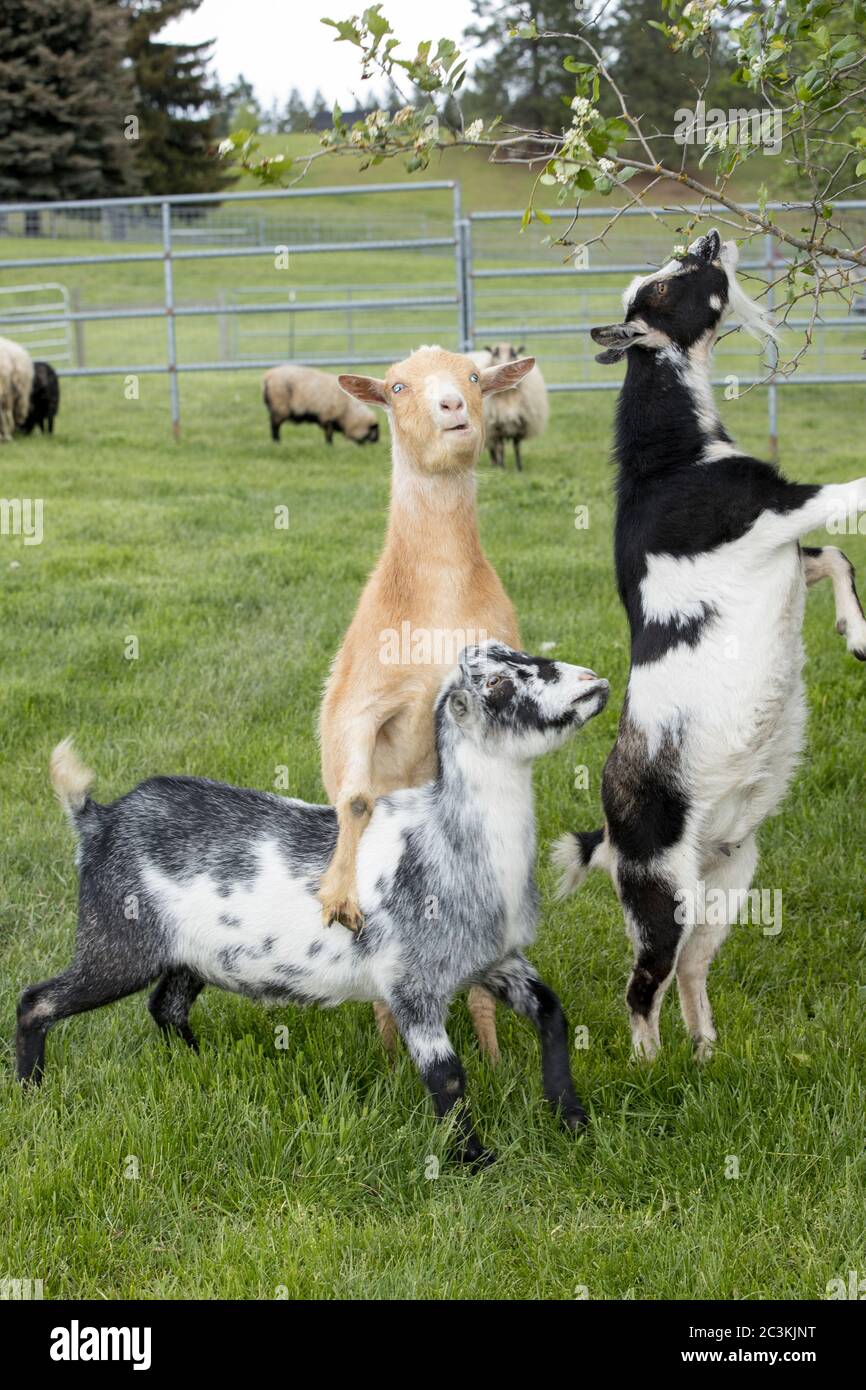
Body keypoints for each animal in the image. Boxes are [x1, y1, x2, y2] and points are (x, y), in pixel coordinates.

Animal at [15, 639, 608, 1162]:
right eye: (497, 683)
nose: (593, 683)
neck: (444, 838)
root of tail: (98, 820)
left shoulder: (498, 960)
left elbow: (552, 1012)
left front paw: (574, 1122)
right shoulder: (411, 983)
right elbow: (447, 1075)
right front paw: (476, 1160)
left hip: (190, 954)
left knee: (166, 1006)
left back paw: (199, 1064)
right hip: (118, 941)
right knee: (36, 1001)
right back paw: (30, 1092)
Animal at [318, 341, 536, 1056]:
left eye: (474, 374)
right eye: (396, 386)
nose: (453, 406)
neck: (437, 594)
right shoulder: (362, 704)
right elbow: (356, 800)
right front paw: (337, 894)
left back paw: (489, 1054)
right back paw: (389, 1054)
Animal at [480, 341, 547, 472]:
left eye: (513, 353)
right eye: (495, 352)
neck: (507, 397)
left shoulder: (520, 424)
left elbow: (517, 447)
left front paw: (519, 468)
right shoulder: (496, 427)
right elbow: (501, 447)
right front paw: (502, 468)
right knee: (492, 447)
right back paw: (495, 464)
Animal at [556, 230, 866, 1061]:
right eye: (667, 287)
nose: (710, 238)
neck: (673, 459)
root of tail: (610, 833)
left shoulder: (782, 547)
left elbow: (834, 557)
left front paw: (856, 634)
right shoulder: (773, 511)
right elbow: (851, 502)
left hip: (726, 882)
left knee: (691, 971)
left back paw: (705, 1050)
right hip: (660, 893)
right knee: (641, 986)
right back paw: (649, 1066)